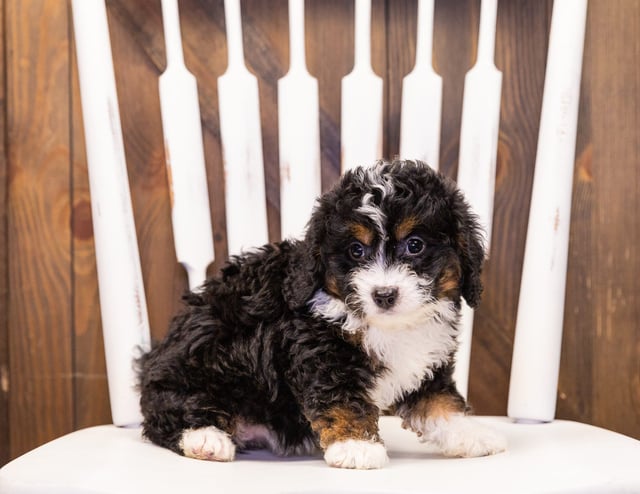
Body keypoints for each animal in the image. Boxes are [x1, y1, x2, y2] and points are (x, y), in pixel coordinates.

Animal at [139, 160, 504, 468]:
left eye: (415, 245)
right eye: (356, 251)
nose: (384, 295)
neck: (388, 326)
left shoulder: (428, 362)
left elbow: (439, 401)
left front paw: (469, 434)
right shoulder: (320, 352)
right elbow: (340, 397)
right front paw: (357, 446)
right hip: (201, 362)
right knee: (168, 415)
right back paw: (206, 439)